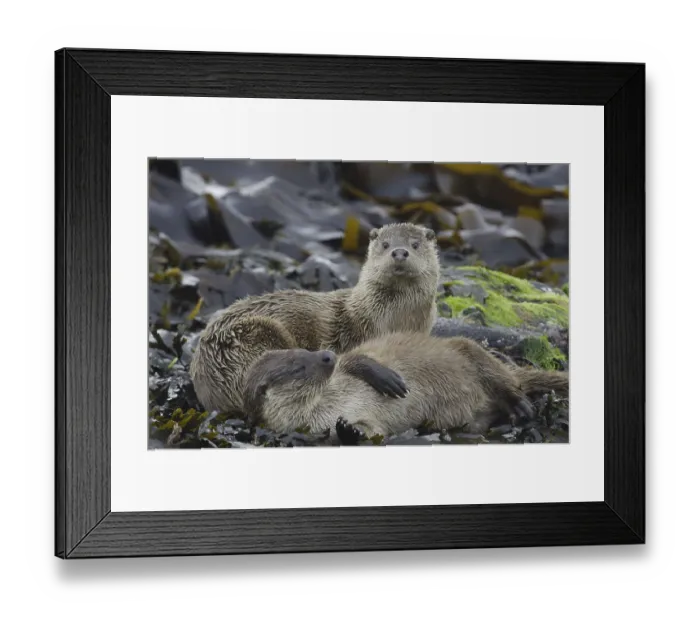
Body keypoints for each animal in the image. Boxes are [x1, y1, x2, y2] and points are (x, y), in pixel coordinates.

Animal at [242, 332, 569, 441]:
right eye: (299, 365)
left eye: (306, 350)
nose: (327, 355)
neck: (331, 402)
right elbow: (374, 430)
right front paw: (349, 430)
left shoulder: (345, 366)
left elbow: (357, 358)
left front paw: (387, 378)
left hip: (469, 349)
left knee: (504, 380)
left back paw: (521, 405)